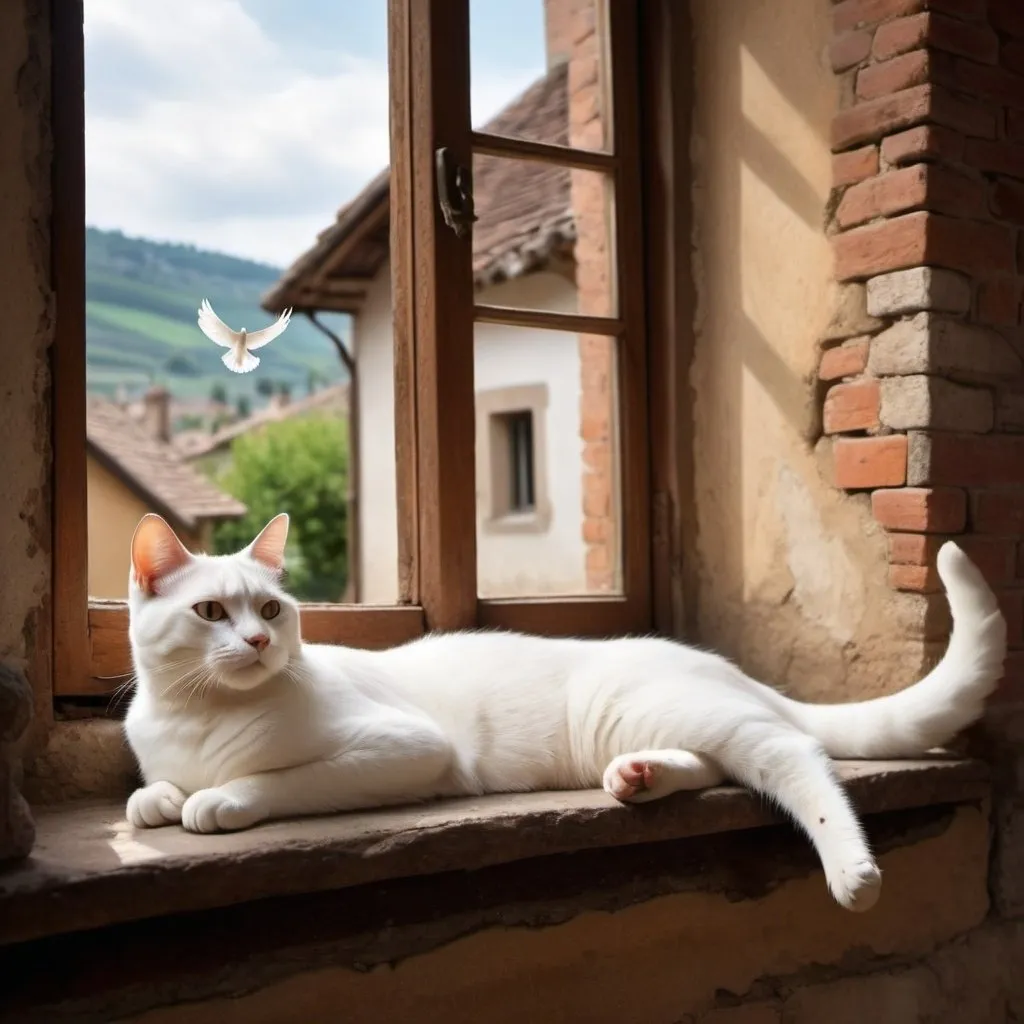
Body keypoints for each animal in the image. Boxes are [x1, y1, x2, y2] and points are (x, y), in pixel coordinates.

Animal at [123, 512, 1003, 913]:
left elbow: (273, 780)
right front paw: (160, 799)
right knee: (721, 763)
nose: (258, 641)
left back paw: (853, 872)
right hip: (661, 723)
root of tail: (722, 666)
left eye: (272, 608)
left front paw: (216, 800)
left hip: (677, 709)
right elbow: (147, 793)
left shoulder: (404, 748)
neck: (197, 717)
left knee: (795, 757)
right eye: (211, 612)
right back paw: (639, 779)